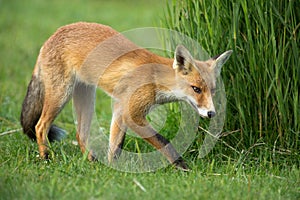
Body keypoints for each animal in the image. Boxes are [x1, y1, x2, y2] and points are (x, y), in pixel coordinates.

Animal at [20, 21, 232, 170]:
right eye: (196, 89)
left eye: (213, 91)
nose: (212, 114)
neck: (155, 78)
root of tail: (52, 36)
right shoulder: (132, 113)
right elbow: (163, 141)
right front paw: (182, 166)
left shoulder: (120, 108)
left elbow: (115, 145)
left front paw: (112, 169)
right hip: (61, 94)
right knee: (40, 126)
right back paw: (47, 158)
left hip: (86, 97)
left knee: (80, 134)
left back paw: (91, 161)